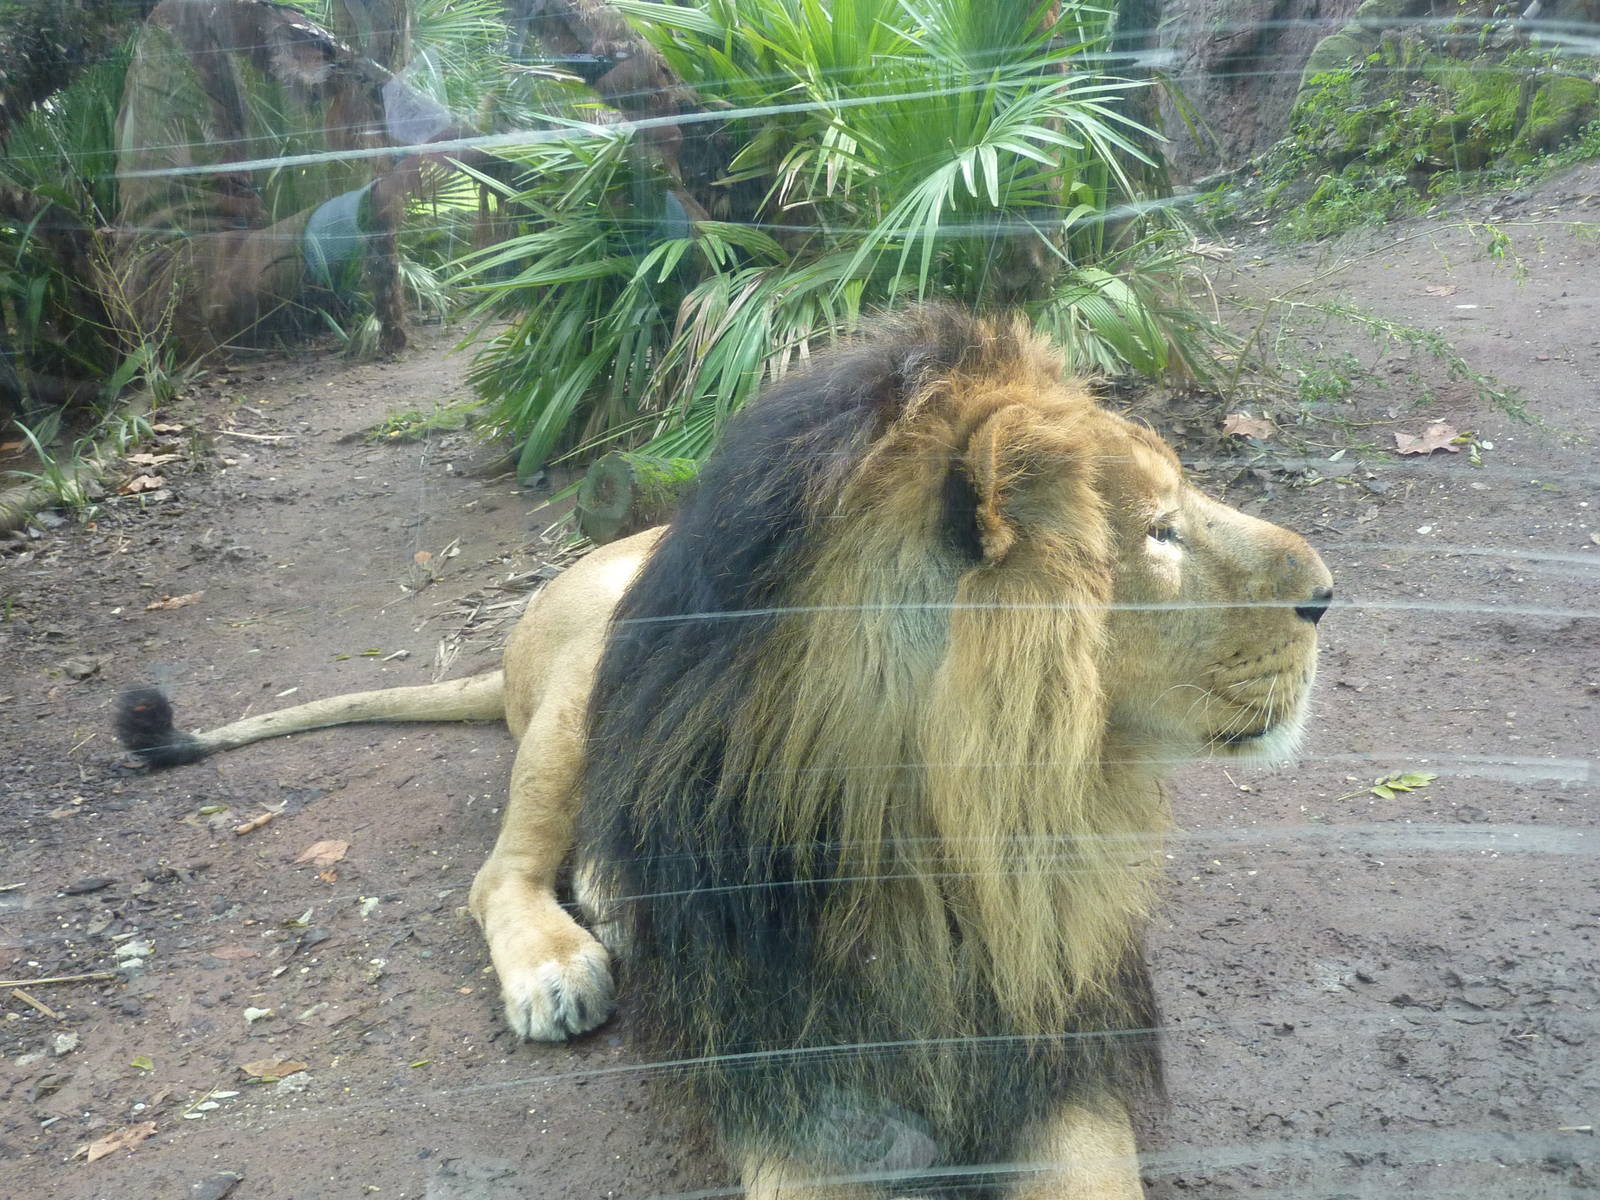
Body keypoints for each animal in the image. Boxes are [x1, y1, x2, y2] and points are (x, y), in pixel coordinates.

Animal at [119, 307, 1332, 1197]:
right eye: (1158, 531)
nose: (1328, 593)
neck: (942, 835)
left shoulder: (1058, 1044)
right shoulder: (793, 1082)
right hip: (583, 685)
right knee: (499, 871)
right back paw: (561, 963)